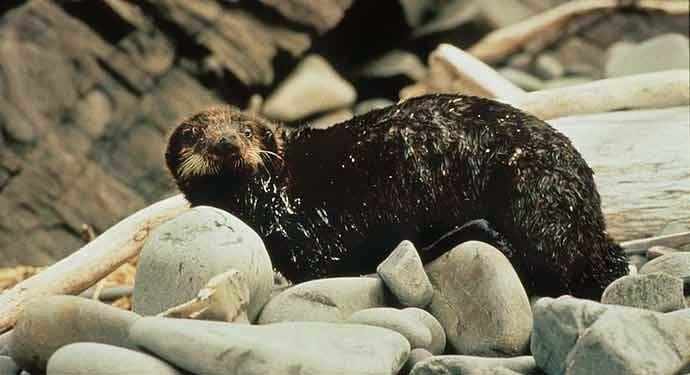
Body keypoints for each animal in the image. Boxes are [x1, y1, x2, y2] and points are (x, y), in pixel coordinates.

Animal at [164, 95, 628, 302]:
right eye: (193, 134)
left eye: (245, 129)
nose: (225, 142)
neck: (275, 190)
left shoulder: (310, 227)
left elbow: (324, 262)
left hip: (534, 198)